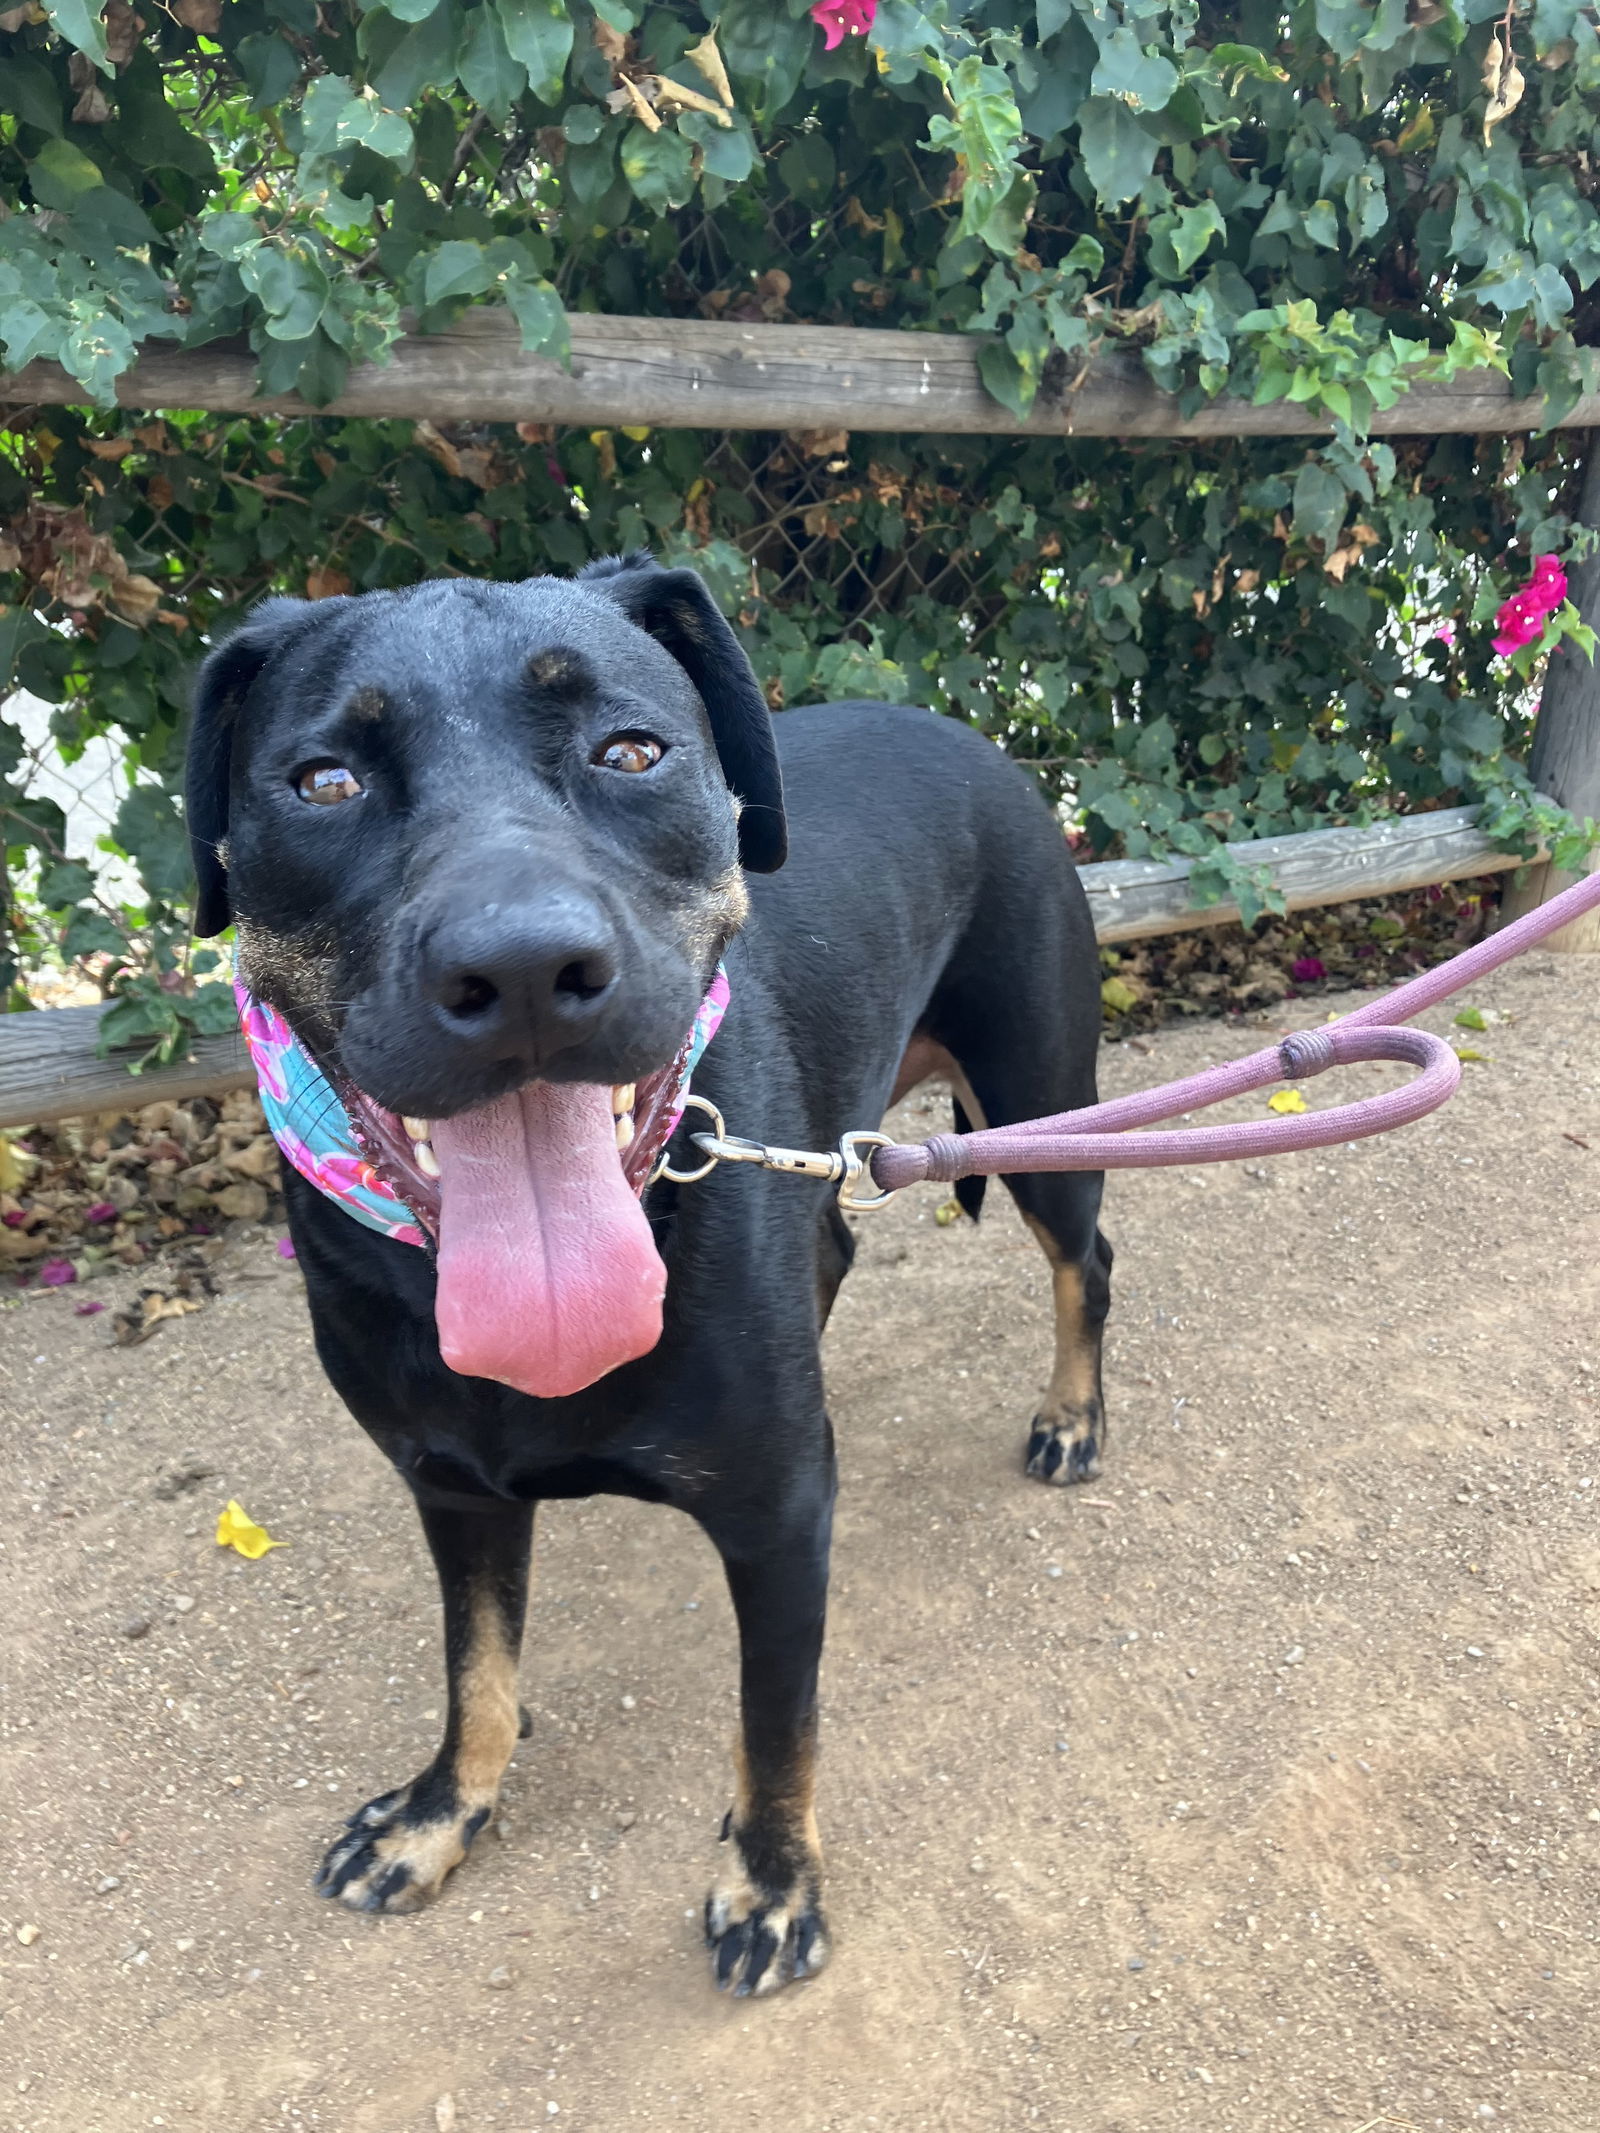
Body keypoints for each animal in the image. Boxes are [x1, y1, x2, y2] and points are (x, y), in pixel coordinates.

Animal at [187, 554, 1117, 1996]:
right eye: (323, 780)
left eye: (631, 750)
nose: (520, 968)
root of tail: (962, 732)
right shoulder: (450, 1488)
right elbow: (476, 1669)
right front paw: (439, 1813)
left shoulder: (783, 1517)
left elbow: (776, 1724)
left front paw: (772, 1883)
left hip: (1037, 1103)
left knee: (1088, 1258)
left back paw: (1072, 1415)